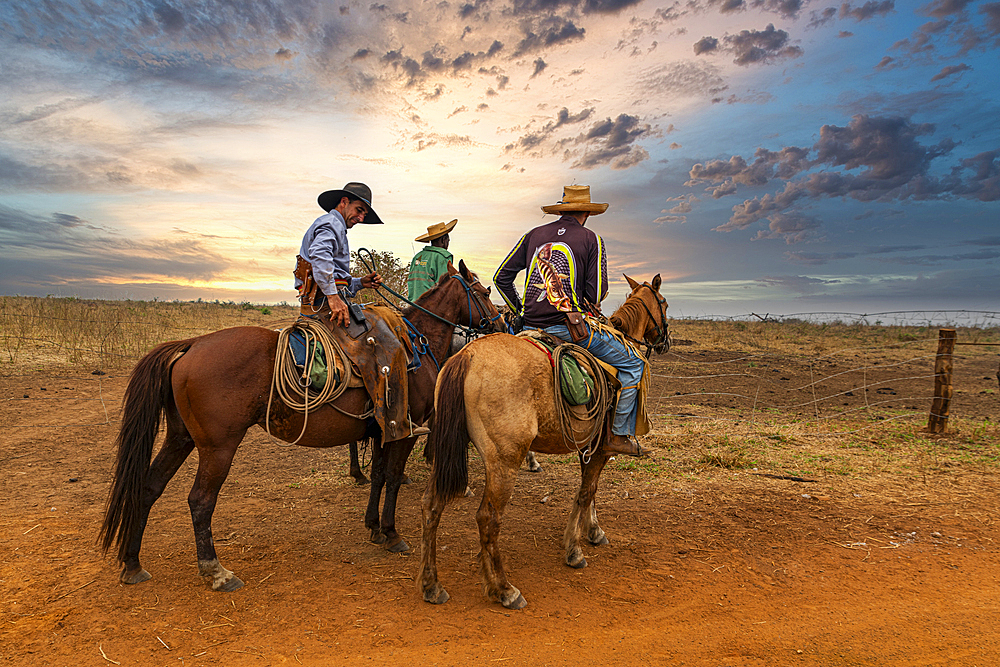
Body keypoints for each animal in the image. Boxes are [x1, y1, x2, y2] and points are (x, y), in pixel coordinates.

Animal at [99, 260, 498, 588]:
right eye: (483, 292)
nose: (502, 322)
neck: (416, 344)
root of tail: (192, 344)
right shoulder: (404, 430)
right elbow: (394, 478)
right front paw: (391, 532)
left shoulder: (382, 429)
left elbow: (379, 476)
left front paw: (373, 527)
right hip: (217, 447)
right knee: (200, 500)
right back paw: (215, 571)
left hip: (181, 438)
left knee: (148, 487)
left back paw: (133, 564)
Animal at [418, 272, 668, 612]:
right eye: (664, 303)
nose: (666, 340)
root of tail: (467, 356)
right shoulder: (602, 448)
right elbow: (586, 492)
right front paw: (574, 550)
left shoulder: (588, 446)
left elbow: (589, 493)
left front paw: (593, 531)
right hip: (504, 462)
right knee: (488, 519)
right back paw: (503, 588)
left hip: (447, 450)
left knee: (431, 506)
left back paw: (432, 584)